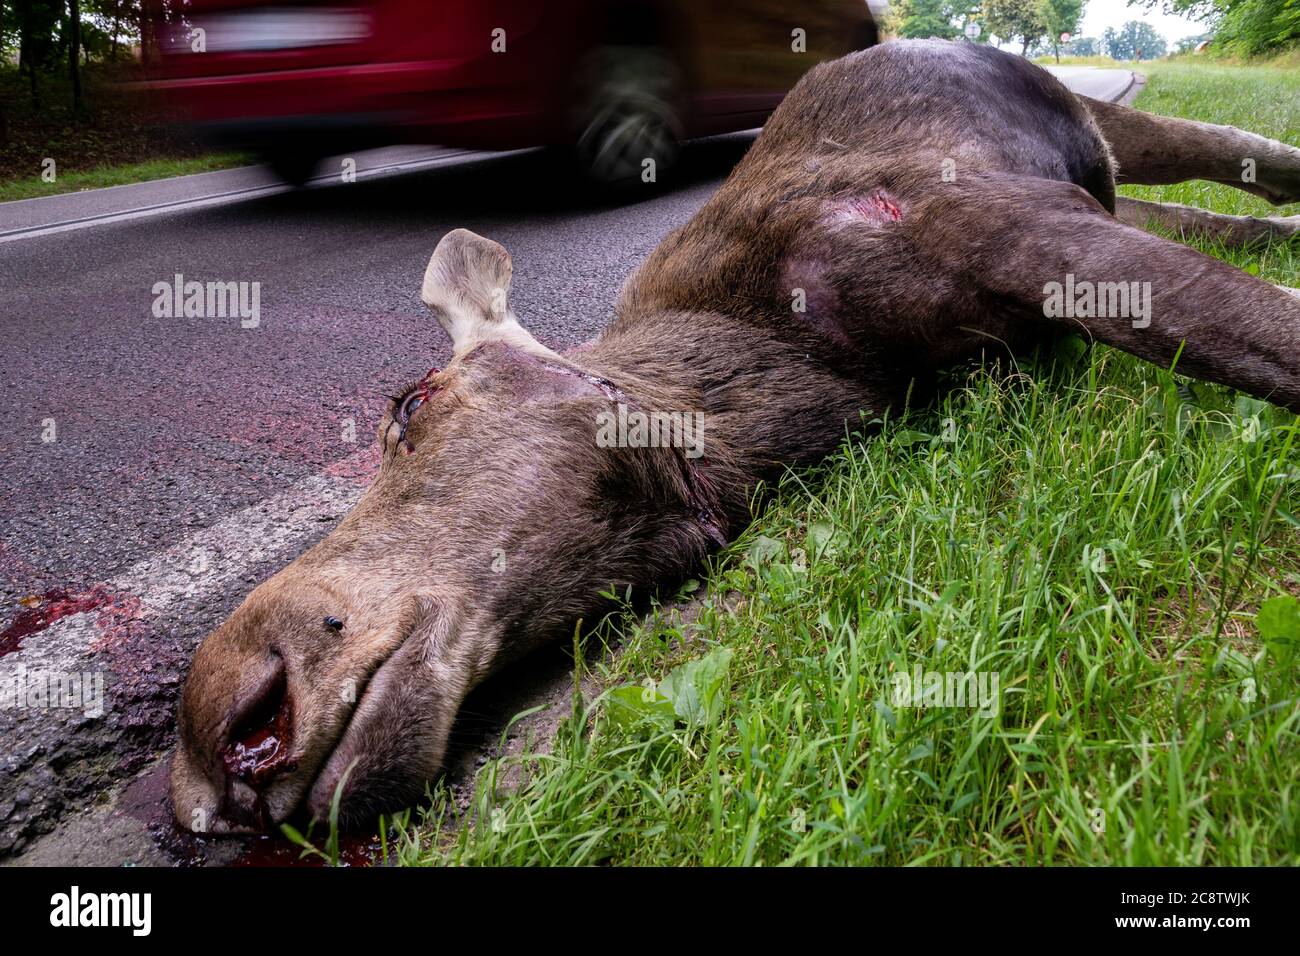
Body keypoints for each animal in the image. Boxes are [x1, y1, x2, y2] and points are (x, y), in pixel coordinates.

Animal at [172, 41, 1300, 832]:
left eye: (408, 404)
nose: (215, 742)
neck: (792, 376)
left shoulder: (981, 215)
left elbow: (1263, 335)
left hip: (1093, 123)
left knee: (1252, 163)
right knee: (1226, 216)